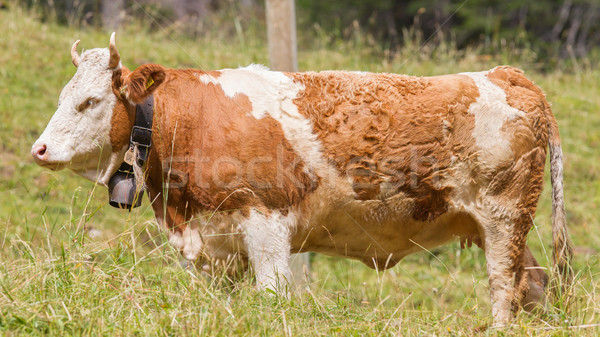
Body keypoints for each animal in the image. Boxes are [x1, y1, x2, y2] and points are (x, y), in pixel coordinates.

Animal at [31, 34, 572, 326]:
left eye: (89, 102)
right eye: (62, 96)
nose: (40, 149)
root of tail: (505, 73)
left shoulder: (266, 223)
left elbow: (272, 297)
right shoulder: (211, 243)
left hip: (504, 218)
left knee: (503, 287)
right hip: (500, 226)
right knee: (533, 283)